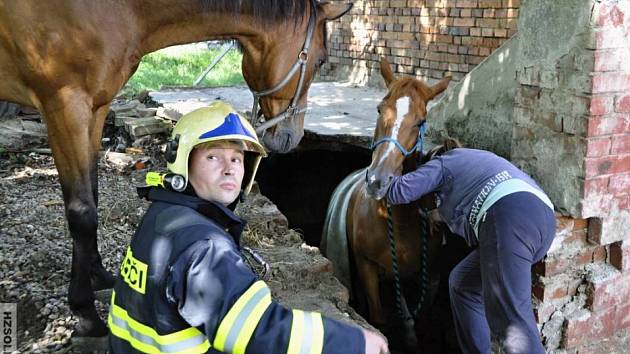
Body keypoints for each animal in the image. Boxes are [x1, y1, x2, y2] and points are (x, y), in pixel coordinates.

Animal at [0, 0, 350, 338]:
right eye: (320, 61)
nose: (294, 137)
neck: (118, 9)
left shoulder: (95, 109)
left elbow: (93, 196)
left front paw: (98, 274)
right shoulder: (65, 107)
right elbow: (82, 213)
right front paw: (84, 311)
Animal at [324, 58, 452, 352]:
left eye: (421, 121)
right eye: (380, 109)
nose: (377, 181)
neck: (399, 221)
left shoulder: (432, 275)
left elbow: (421, 319)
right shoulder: (367, 267)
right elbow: (378, 319)